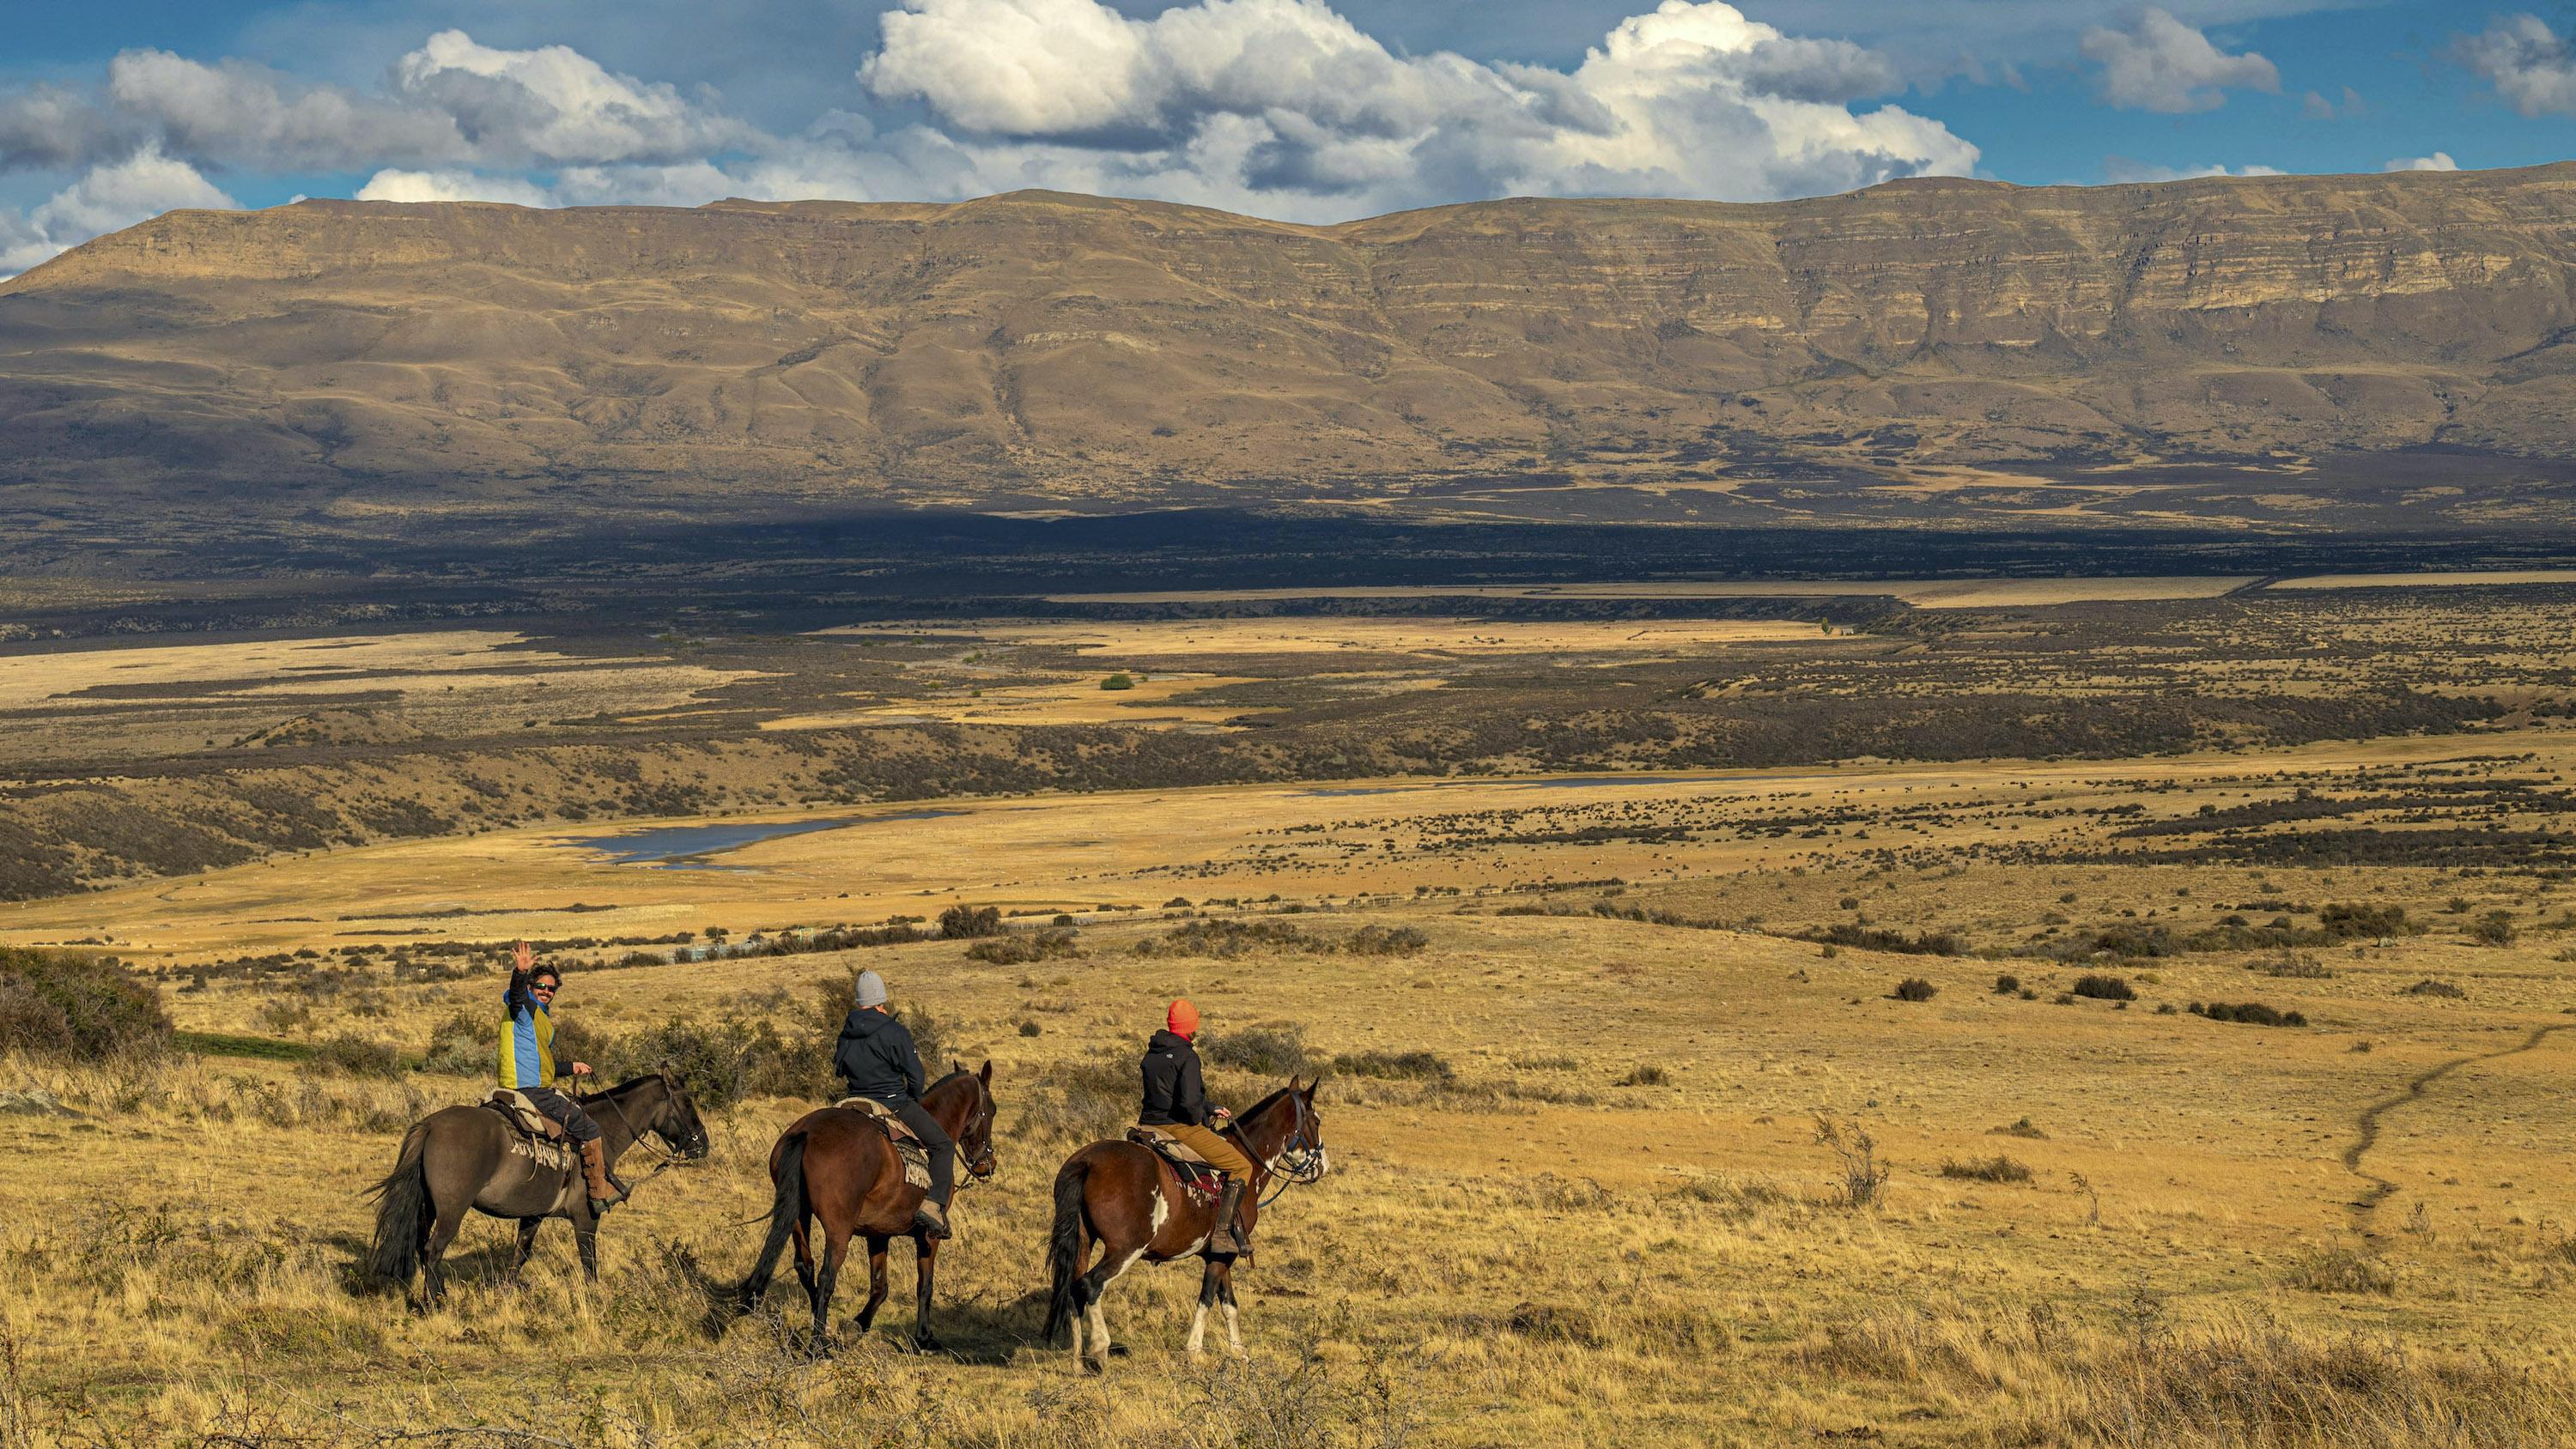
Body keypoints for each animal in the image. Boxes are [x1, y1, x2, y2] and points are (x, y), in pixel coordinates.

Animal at [367, 1068, 710, 1305]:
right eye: (687, 1102)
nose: (703, 1145)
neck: (603, 1134)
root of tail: (430, 1124)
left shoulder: (533, 1214)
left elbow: (520, 1254)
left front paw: (508, 1292)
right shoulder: (586, 1219)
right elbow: (589, 1263)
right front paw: (595, 1299)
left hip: (428, 1208)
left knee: (422, 1248)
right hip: (452, 1211)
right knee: (433, 1250)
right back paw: (435, 1303)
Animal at [730, 1063, 998, 1353]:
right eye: (992, 1109)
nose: (987, 1164)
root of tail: (806, 1131)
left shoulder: (878, 1233)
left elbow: (880, 1285)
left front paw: (857, 1325)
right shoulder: (928, 1236)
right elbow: (925, 1286)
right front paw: (925, 1338)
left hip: (799, 1218)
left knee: (806, 1267)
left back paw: (821, 1327)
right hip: (839, 1229)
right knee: (826, 1277)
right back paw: (818, 1345)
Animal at [1043, 1077, 1326, 1371]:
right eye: (1316, 1121)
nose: (1322, 1167)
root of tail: (1086, 1161)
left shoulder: (1221, 1253)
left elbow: (1229, 1303)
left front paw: (1238, 1351)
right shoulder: (1221, 1256)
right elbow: (1208, 1297)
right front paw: (1195, 1350)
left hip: (1083, 1244)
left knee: (1073, 1289)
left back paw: (1078, 1361)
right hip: (1125, 1250)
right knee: (1091, 1285)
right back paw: (1099, 1347)